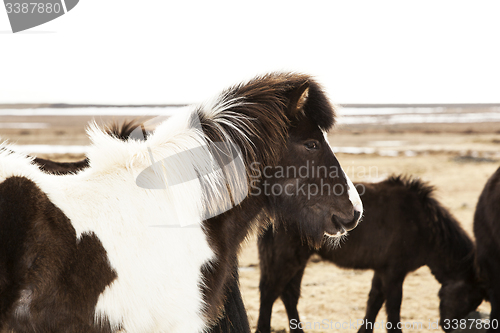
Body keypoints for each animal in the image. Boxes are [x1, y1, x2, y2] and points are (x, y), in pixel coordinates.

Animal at [256, 175, 482, 330]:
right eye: (468, 297)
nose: (447, 326)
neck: (421, 223)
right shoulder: (394, 273)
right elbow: (393, 308)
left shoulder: (382, 270)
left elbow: (374, 303)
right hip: (285, 259)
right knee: (269, 293)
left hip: (297, 260)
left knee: (289, 295)